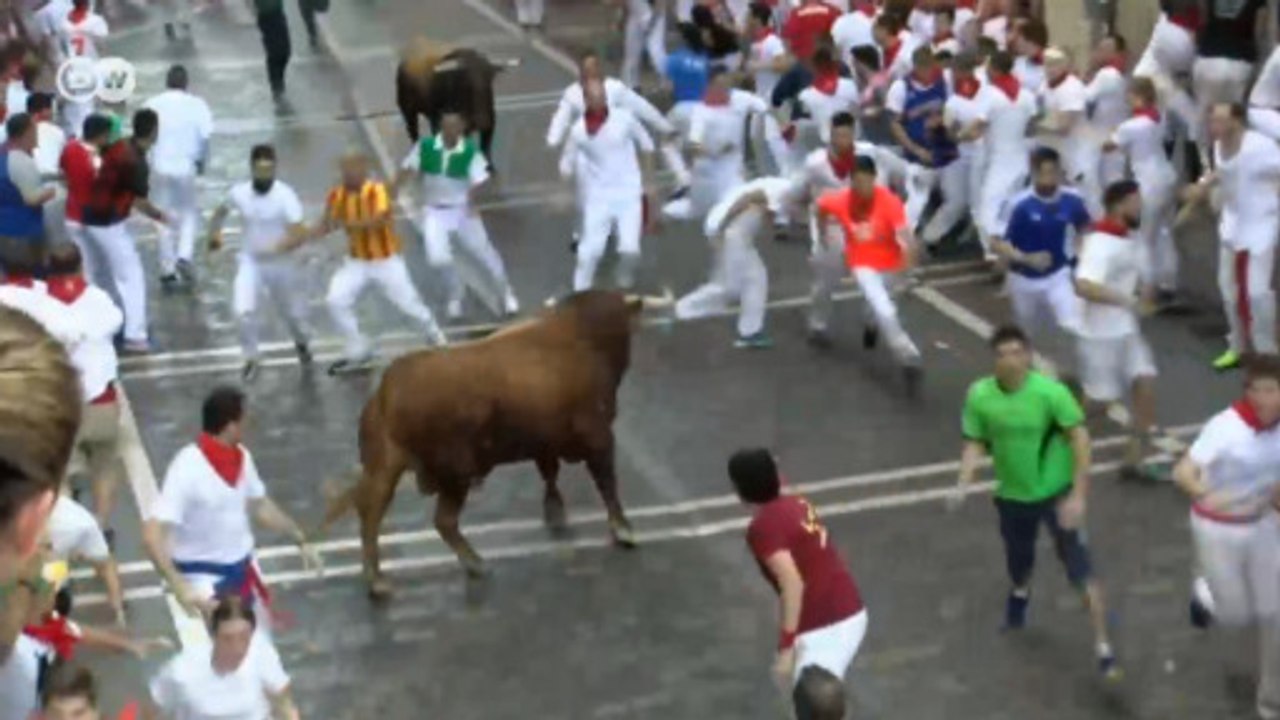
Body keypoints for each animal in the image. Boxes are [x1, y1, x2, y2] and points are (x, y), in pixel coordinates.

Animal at [316, 288, 645, 597]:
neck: (584, 338)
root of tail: (388, 388)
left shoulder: (545, 440)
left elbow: (550, 472)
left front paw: (555, 511)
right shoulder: (599, 436)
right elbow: (606, 483)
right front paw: (623, 529)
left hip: (387, 469)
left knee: (373, 513)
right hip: (454, 473)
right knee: (437, 520)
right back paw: (467, 565)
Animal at [391, 39, 512, 171]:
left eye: (490, 79)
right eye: (466, 80)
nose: (482, 119)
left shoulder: (489, 126)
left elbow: (485, 150)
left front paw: (489, 167)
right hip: (408, 111)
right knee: (413, 133)